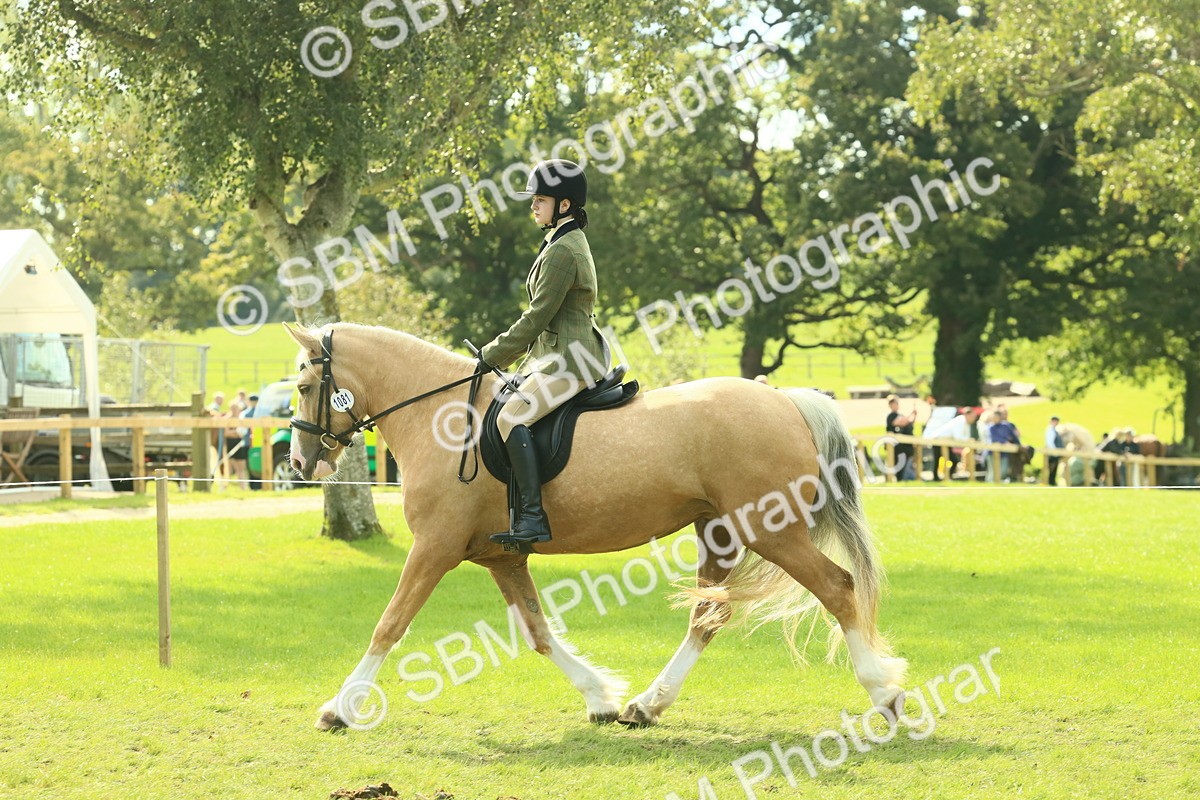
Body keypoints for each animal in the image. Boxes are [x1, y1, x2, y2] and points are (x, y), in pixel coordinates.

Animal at [284, 322, 907, 730]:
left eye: (304, 387)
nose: (299, 463)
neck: (443, 419)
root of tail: (787, 401)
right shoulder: (500, 556)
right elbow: (537, 631)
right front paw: (600, 696)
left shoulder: (434, 547)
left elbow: (389, 625)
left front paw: (339, 709)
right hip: (721, 531)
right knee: (708, 617)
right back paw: (646, 705)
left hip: (771, 531)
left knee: (837, 588)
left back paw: (884, 694)